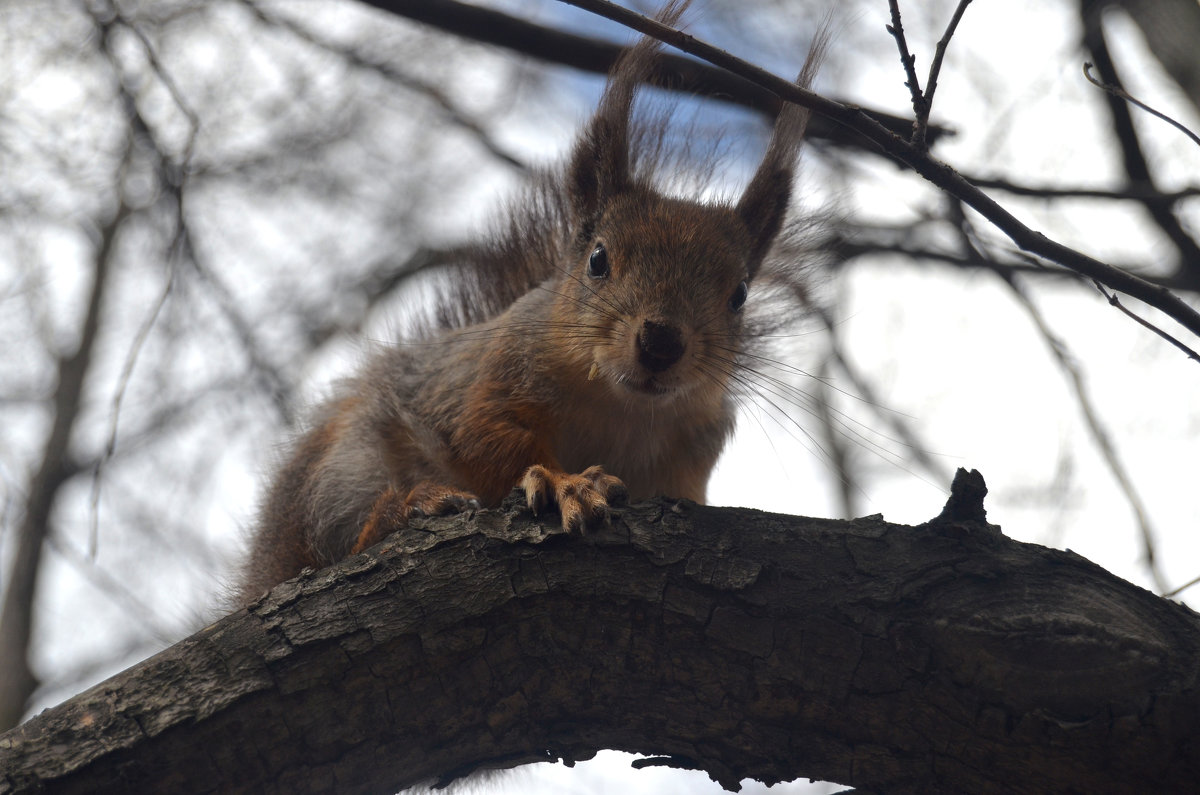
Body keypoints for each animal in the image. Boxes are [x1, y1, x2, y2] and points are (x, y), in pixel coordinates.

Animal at [240, 3, 830, 607]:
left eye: (739, 295)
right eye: (598, 260)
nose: (661, 342)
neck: (619, 407)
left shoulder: (689, 453)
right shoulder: (488, 379)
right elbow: (492, 443)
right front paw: (563, 482)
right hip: (344, 473)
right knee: (342, 542)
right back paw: (406, 510)